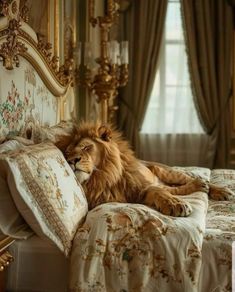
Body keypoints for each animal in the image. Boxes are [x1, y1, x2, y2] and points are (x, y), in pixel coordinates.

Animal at [61, 121, 234, 217]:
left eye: (86, 147)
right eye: (67, 153)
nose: (72, 161)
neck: (105, 176)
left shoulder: (141, 185)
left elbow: (164, 191)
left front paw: (176, 204)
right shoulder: (137, 195)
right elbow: (163, 191)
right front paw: (175, 203)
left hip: (169, 172)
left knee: (190, 179)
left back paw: (221, 190)